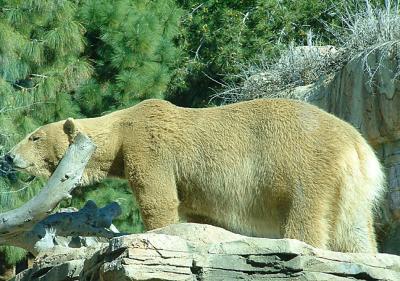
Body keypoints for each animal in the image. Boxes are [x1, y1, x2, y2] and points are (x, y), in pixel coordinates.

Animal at [3, 98, 384, 252]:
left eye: (34, 136)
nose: (8, 156)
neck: (121, 129)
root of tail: (359, 147)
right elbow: (199, 214)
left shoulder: (150, 145)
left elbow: (158, 199)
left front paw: (156, 233)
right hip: (350, 187)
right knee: (356, 230)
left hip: (305, 163)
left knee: (305, 214)